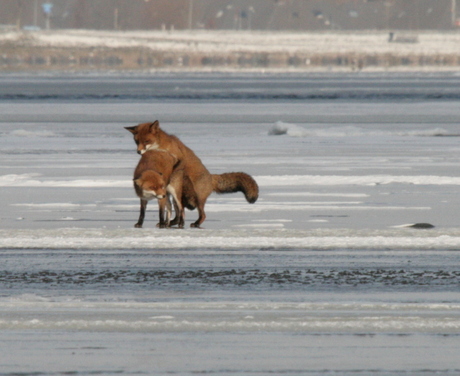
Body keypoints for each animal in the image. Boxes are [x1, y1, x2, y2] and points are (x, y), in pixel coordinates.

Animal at [126, 121, 258, 226]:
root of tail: (211, 177)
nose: (138, 152)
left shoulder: (178, 158)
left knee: (201, 214)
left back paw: (195, 223)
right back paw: (173, 223)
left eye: (146, 140)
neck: (159, 148)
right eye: (136, 141)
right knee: (178, 210)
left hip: (196, 198)